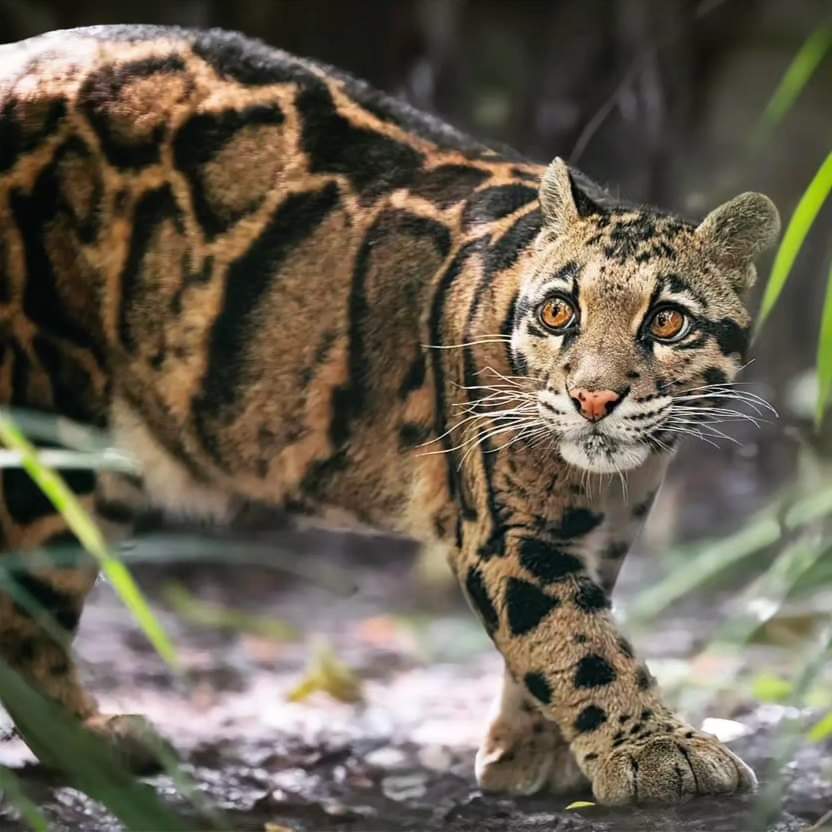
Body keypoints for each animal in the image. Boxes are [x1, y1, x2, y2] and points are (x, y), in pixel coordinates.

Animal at [0, 24, 780, 806]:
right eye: (560, 312)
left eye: (668, 322)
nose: (594, 398)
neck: (601, 480)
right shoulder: (505, 529)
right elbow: (577, 639)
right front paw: (655, 749)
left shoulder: (602, 529)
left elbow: (563, 636)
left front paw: (528, 752)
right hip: (46, 421)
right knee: (21, 614)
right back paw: (90, 746)